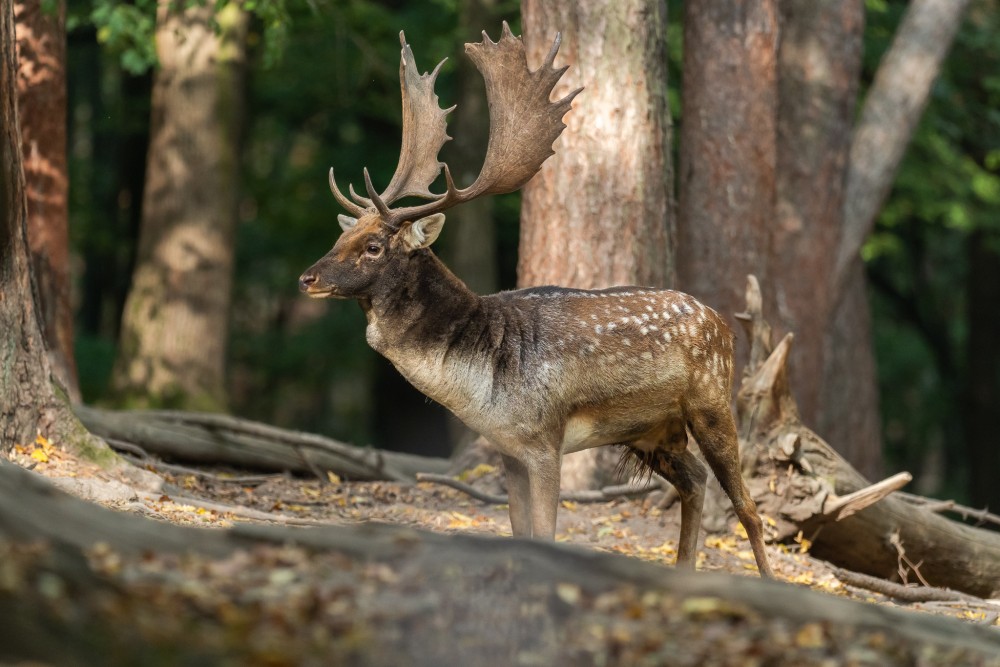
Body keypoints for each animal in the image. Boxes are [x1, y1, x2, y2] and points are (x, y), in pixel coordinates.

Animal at [296, 23, 772, 580]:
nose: (307, 278)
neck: (480, 386)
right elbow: (520, 534)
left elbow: (546, 533)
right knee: (694, 481)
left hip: (712, 401)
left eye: (373, 246)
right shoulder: (509, 450)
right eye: (341, 237)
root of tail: (723, 323)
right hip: (652, 431)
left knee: (746, 505)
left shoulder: (546, 439)